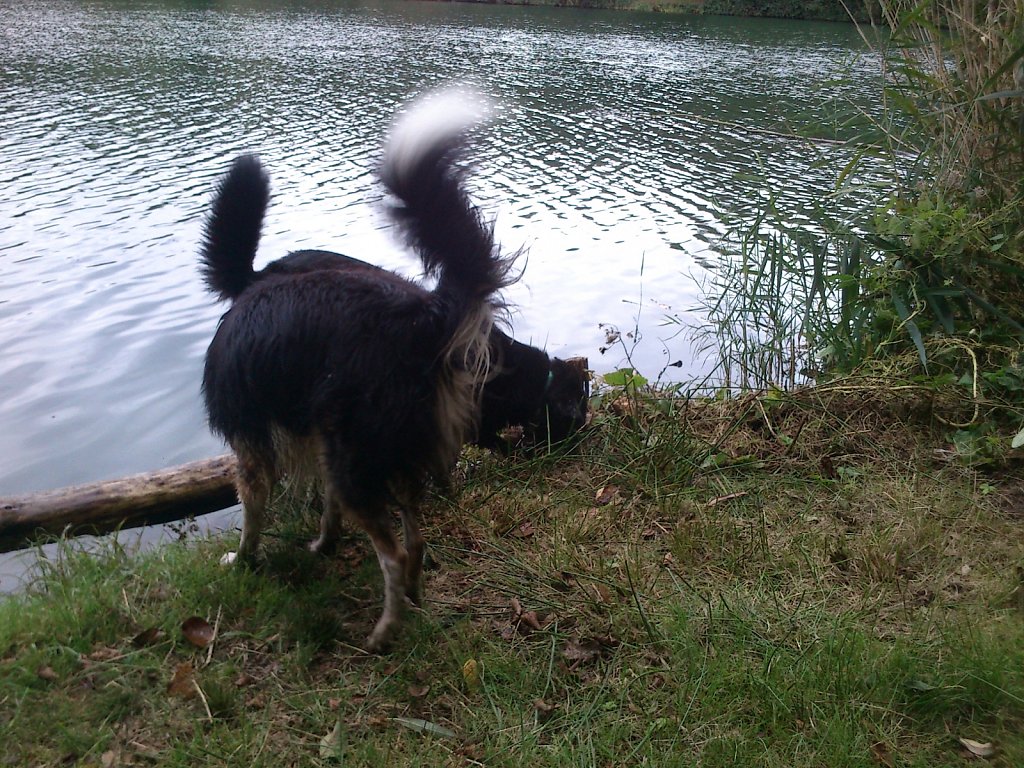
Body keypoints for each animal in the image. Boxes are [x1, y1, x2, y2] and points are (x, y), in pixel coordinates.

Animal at [200, 93, 516, 651]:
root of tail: (419, 319)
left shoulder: (253, 442)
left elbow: (252, 511)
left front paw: (242, 561)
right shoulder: (319, 439)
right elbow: (327, 506)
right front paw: (324, 543)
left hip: (356, 454)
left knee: (391, 551)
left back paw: (385, 632)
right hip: (390, 448)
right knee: (415, 535)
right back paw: (413, 593)